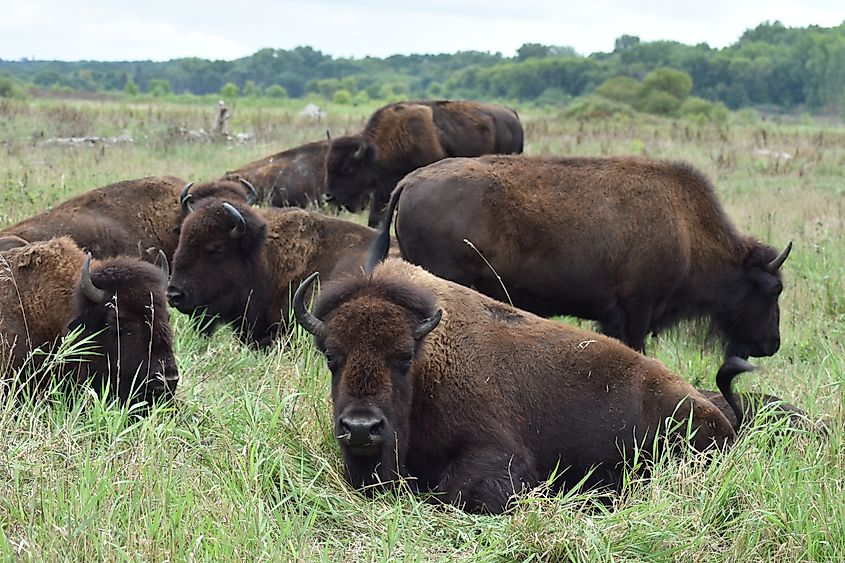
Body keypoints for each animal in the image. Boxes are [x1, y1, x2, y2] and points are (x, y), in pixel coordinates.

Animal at [292, 258, 744, 514]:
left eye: (404, 357)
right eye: (331, 356)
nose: (361, 428)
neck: (427, 364)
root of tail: (719, 417)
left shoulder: (500, 459)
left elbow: (457, 491)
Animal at [325, 100, 524, 227]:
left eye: (348, 169)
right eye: (328, 165)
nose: (329, 198)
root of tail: (512, 114)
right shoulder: (383, 186)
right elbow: (375, 217)